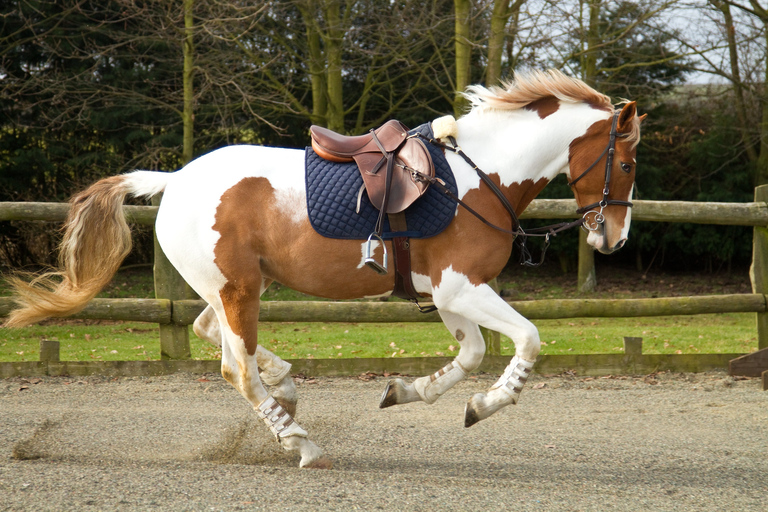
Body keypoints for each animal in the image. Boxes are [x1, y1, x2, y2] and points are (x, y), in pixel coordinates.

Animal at [6, 70, 640, 470]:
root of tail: (174, 180)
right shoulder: (463, 287)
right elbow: (527, 340)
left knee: (211, 335)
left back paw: (286, 388)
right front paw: (485, 406)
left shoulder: (448, 294)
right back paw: (300, 442)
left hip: (234, 288)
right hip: (239, 290)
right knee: (236, 368)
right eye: (629, 162)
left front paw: (406, 391)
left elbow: (471, 355)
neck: (478, 178)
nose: (613, 238)